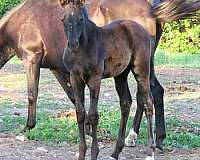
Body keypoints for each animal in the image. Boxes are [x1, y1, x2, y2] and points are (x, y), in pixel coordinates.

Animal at [61, 0, 155, 159]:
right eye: (63, 19)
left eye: (81, 19)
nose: (73, 44)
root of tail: (142, 29)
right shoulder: (75, 79)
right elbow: (80, 113)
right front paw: (82, 154)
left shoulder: (95, 79)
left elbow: (93, 115)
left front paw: (94, 153)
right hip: (121, 75)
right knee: (125, 103)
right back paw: (115, 152)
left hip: (141, 71)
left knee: (148, 103)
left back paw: (150, 152)